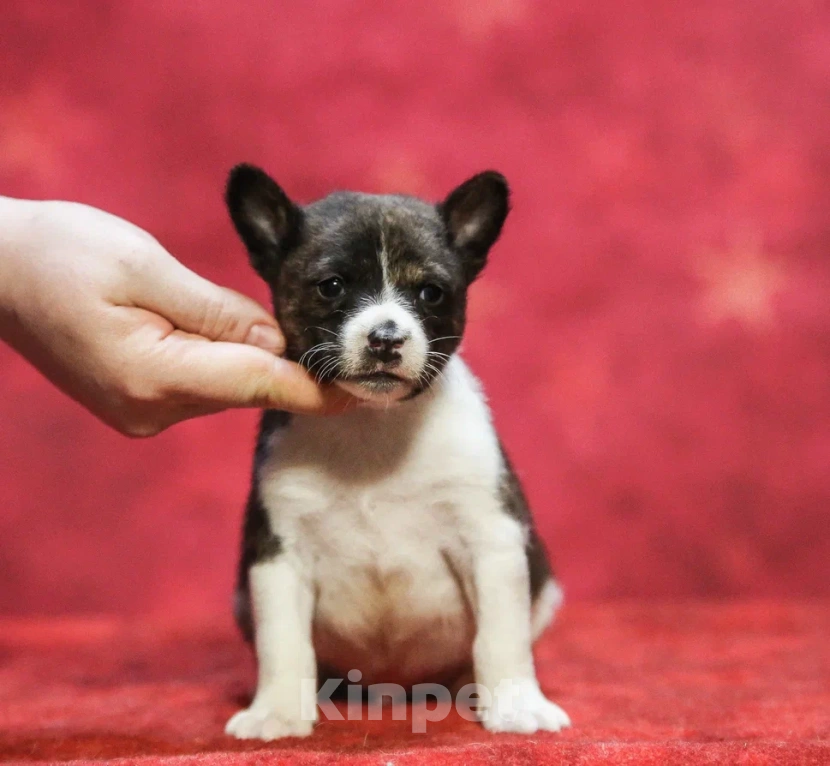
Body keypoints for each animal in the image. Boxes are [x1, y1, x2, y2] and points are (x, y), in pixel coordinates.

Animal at [224, 165, 568, 740]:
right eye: (332, 286)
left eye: (431, 293)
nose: (386, 336)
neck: (374, 422)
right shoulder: (279, 555)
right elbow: (283, 641)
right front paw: (278, 711)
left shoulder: (491, 540)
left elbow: (501, 636)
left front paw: (516, 703)